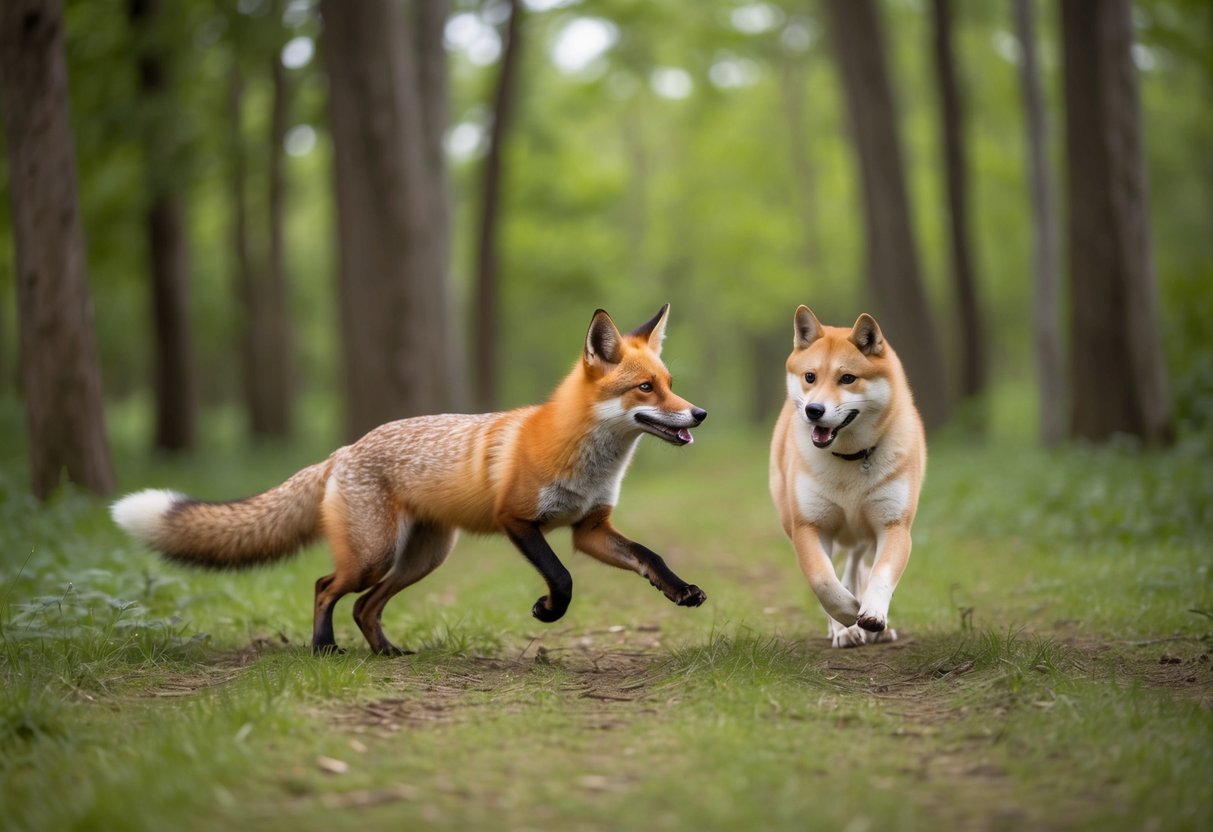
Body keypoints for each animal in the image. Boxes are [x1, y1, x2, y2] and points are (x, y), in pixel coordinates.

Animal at [112, 305, 708, 655]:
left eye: (670, 383)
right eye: (646, 388)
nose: (699, 413)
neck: (587, 461)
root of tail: (343, 450)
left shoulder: (590, 527)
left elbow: (649, 556)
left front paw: (680, 590)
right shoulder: (516, 520)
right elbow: (561, 578)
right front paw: (548, 611)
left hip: (421, 559)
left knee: (364, 606)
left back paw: (385, 652)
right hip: (374, 555)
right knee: (325, 587)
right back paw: (323, 647)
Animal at [769, 306, 926, 648]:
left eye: (848, 378)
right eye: (810, 376)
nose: (814, 410)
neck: (852, 457)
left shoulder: (893, 525)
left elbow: (880, 575)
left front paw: (873, 614)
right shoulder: (809, 526)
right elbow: (824, 581)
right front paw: (847, 616)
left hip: (863, 533)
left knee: (856, 565)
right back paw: (845, 630)